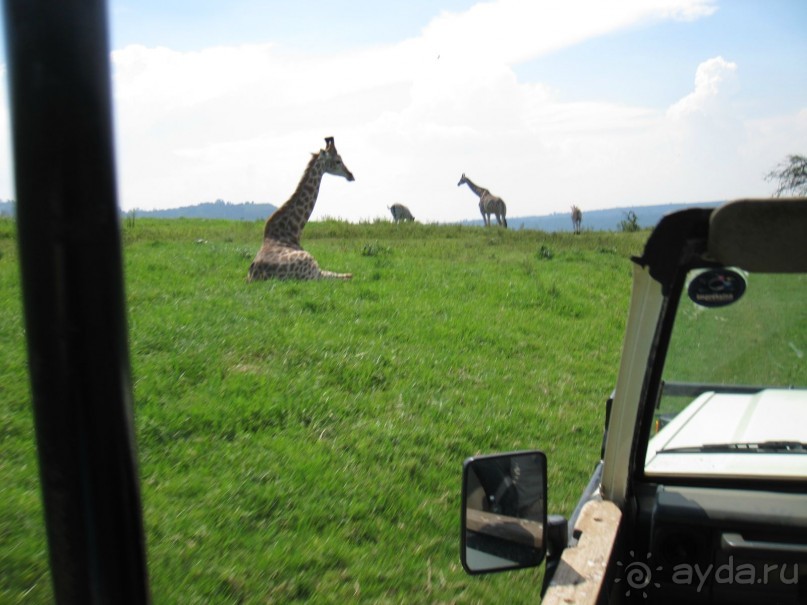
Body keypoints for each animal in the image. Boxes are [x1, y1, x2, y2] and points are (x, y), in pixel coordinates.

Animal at [248, 137, 356, 280]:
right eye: (338, 161)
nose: (351, 175)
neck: (291, 232)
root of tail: (257, 275)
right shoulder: (315, 272)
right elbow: (348, 275)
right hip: (311, 269)